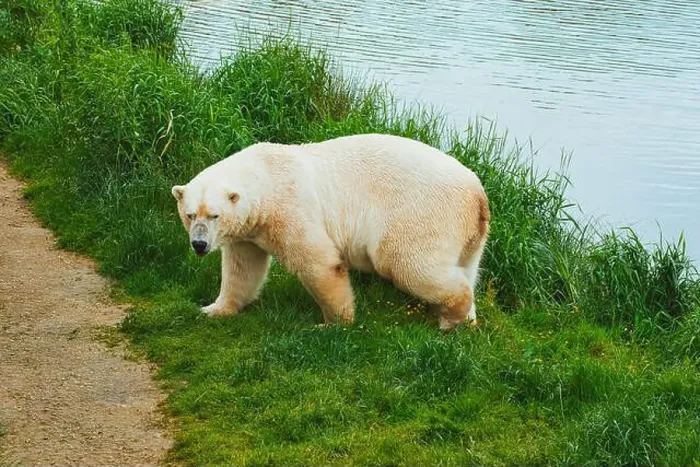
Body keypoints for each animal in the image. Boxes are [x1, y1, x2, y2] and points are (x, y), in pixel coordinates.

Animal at [171, 133, 490, 331]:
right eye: (190, 215)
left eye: (214, 215)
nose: (199, 244)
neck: (266, 176)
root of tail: (478, 195)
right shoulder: (249, 231)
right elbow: (243, 268)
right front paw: (213, 308)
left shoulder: (290, 207)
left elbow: (319, 262)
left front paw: (332, 323)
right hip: (470, 237)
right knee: (466, 269)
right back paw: (463, 317)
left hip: (422, 214)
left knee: (405, 262)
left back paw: (452, 317)